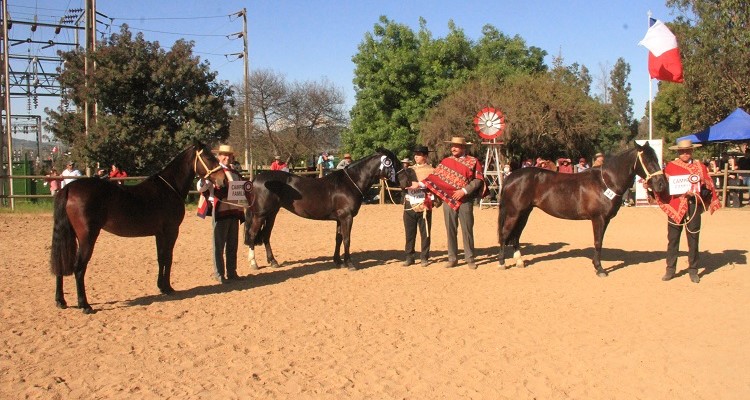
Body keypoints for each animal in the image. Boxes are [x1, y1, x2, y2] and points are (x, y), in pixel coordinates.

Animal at [50, 142, 228, 314]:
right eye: (209, 157)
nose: (223, 180)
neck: (169, 187)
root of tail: (68, 188)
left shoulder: (159, 234)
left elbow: (161, 258)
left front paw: (161, 286)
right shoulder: (171, 231)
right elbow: (168, 258)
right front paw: (168, 288)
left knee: (62, 262)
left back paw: (61, 301)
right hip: (87, 237)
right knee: (79, 268)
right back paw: (85, 305)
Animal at [244, 148, 402, 270]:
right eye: (395, 162)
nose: (405, 179)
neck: (350, 183)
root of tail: (256, 179)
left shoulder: (340, 219)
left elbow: (338, 238)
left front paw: (338, 261)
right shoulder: (347, 217)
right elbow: (347, 239)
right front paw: (350, 264)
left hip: (272, 213)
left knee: (266, 235)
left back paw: (273, 261)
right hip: (260, 214)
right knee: (252, 234)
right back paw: (253, 263)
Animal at [500, 142, 668, 276]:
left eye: (656, 158)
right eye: (647, 160)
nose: (661, 183)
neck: (605, 182)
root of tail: (511, 177)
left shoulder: (605, 220)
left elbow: (600, 241)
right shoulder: (598, 218)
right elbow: (597, 242)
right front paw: (600, 269)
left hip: (524, 213)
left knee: (516, 235)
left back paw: (520, 262)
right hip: (514, 213)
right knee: (505, 234)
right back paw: (502, 263)